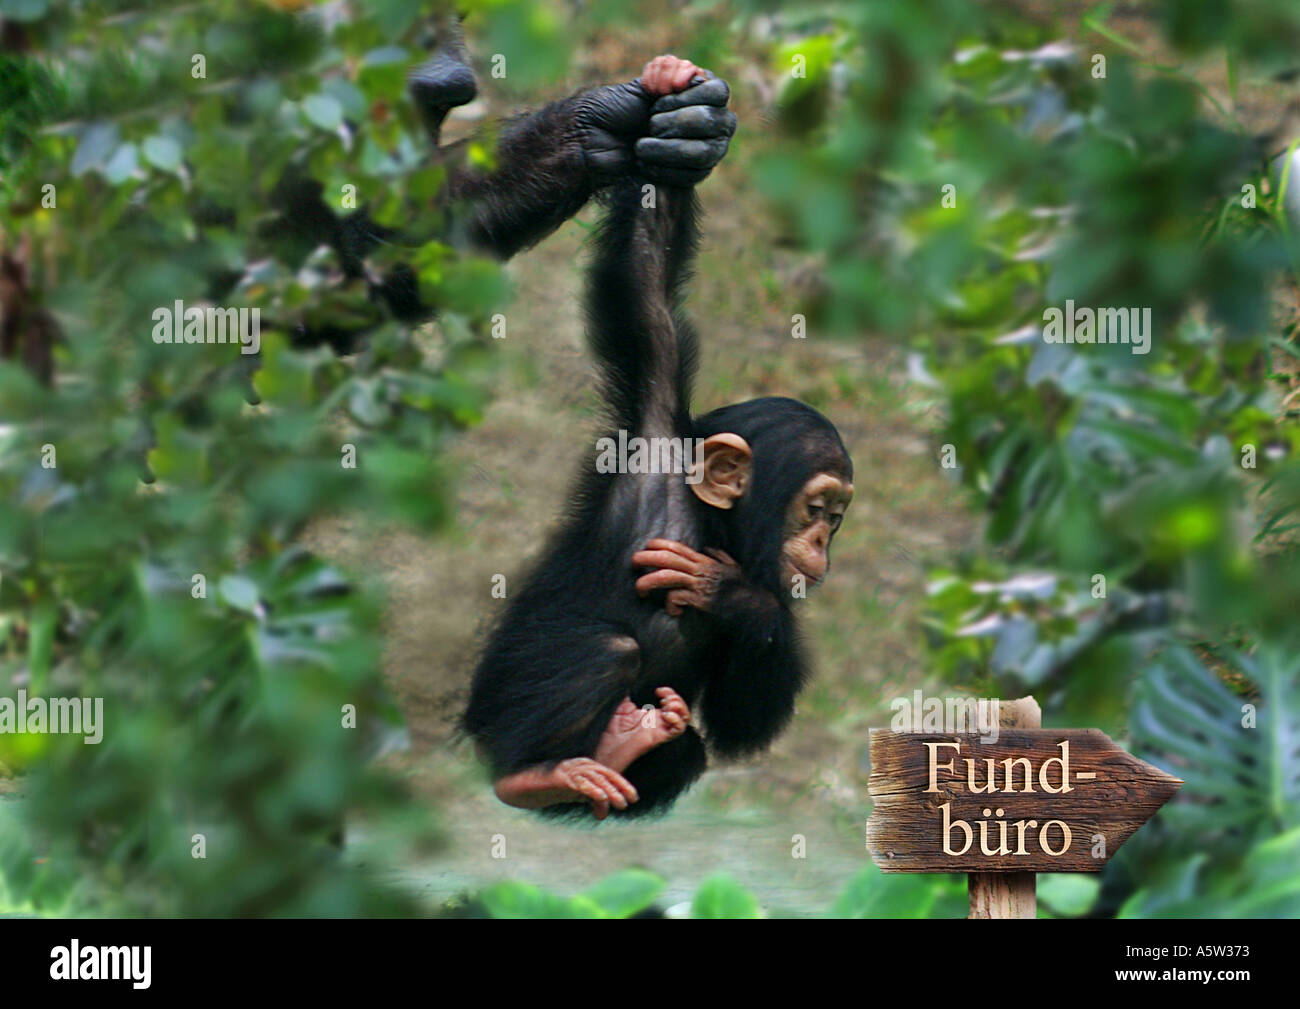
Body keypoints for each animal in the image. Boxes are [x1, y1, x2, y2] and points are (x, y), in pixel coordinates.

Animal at [463, 57, 854, 819]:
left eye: (837, 518)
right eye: (817, 510)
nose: (823, 542)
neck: (713, 525)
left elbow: (741, 719)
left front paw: (731, 595)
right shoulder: (652, 428)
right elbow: (646, 284)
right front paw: (672, 87)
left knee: (690, 748)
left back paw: (620, 749)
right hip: (491, 713)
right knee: (605, 650)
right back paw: (532, 774)